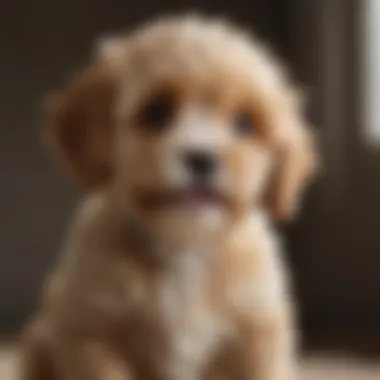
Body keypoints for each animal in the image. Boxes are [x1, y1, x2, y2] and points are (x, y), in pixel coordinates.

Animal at [20, 14, 318, 380]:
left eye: (244, 123)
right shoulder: (92, 331)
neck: (184, 244)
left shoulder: (256, 334)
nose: (202, 158)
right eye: (157, 112)